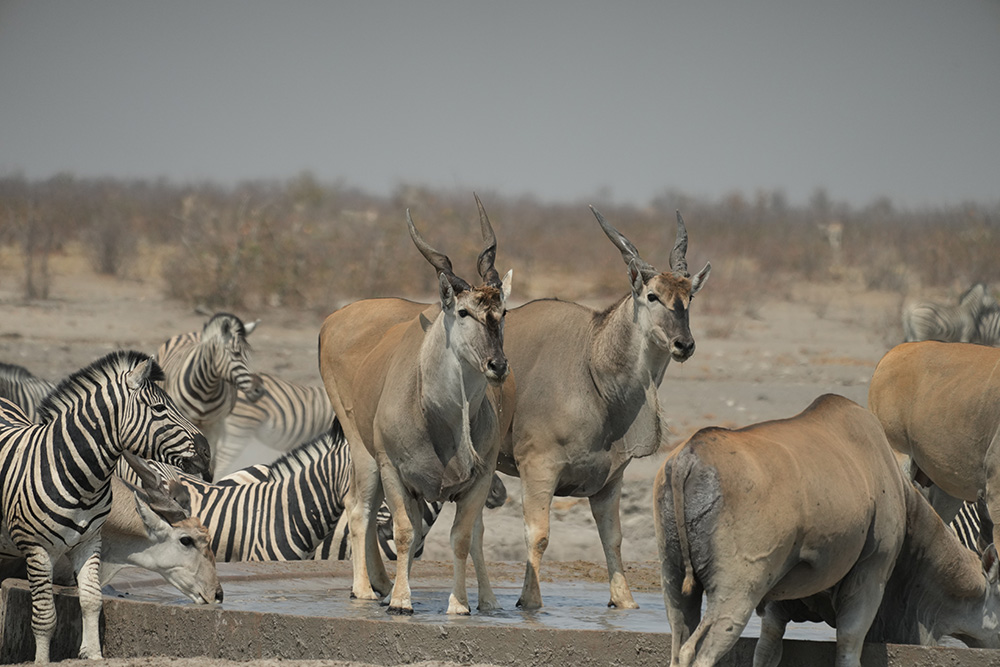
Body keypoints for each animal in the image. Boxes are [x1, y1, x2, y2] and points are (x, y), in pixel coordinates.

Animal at [0, 350, 211, 662]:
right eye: (159, 408)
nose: (208, 452)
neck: (80, 479)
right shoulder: (36, 548)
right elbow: (45, 616)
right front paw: (41, 661)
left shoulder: (89, 543)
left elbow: (91, 601)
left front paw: (93, 655)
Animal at [155, 312, 265, 479]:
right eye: (236, 353)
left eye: (250, 355)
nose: (259, 390)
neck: (205, 390)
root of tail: (191, 333)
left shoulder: (214, 425)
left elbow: (209, 465)